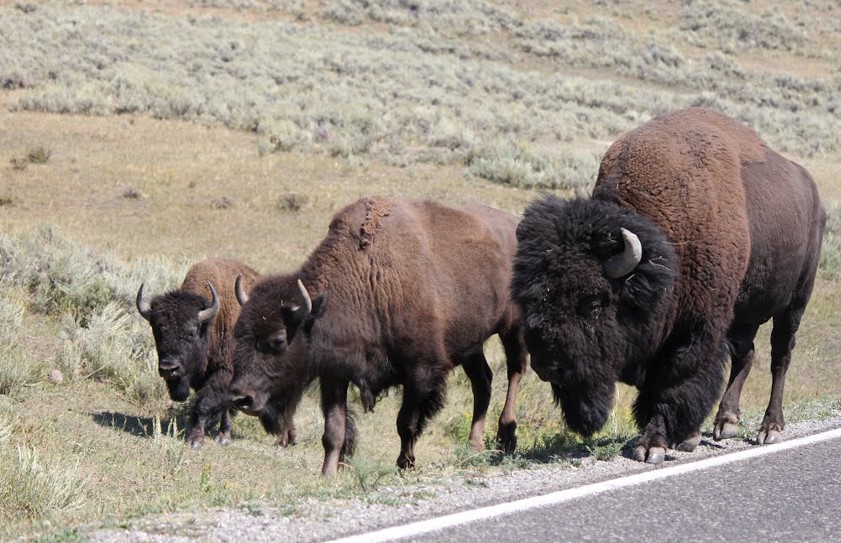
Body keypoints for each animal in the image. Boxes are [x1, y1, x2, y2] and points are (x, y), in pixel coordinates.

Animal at [135, 260, 296, 450]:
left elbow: (204, 404)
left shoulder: (224, 373)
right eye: (157, 330)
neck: (210, 325)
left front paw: (196, 440)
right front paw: (221, 434)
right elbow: (218, 404)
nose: (169, 368)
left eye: (191, 332)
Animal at [228, 200, 532, 476]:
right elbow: (333, 429)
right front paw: (328, 474)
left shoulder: (420, 371)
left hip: (513, 328)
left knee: (515, 371)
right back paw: (474, 445)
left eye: (278, 340)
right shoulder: (335, 373)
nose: (241, 398)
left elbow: (406, 422)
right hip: (472, 344)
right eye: (237, 334)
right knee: (483, 382)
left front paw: (405, 464)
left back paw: (506, 436)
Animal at [512, 108, 828, 466]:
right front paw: (683, 438)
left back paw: (770, 429)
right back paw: (726, 423)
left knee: (780, 357)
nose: (545, 365)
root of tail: (813, 194)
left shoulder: (695, 331)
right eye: (531, 299)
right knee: (745, 355)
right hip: (744, 312)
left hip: (795, 303)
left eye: (593, 302)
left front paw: (653, 446)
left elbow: (672, 381)